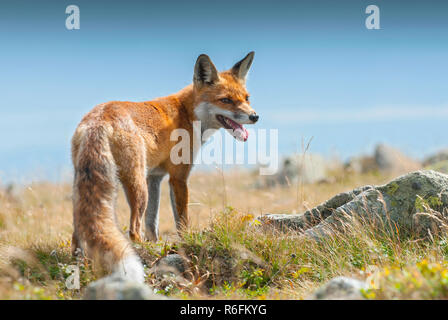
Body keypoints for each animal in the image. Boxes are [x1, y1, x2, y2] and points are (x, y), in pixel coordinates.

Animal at [71, 51, 260, 282]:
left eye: (246, 98)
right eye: (226, 100)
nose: (254, 116)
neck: (187, 113)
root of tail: (98, 118)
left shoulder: (155, 177)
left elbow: (152, 222)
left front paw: (157, 245)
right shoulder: (178, 177)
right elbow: (181, 220)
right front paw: (184, 242)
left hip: (88, 187)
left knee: (78, 234)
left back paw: (79, 267)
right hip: (136, 184)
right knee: (133, 229)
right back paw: (140, 254)